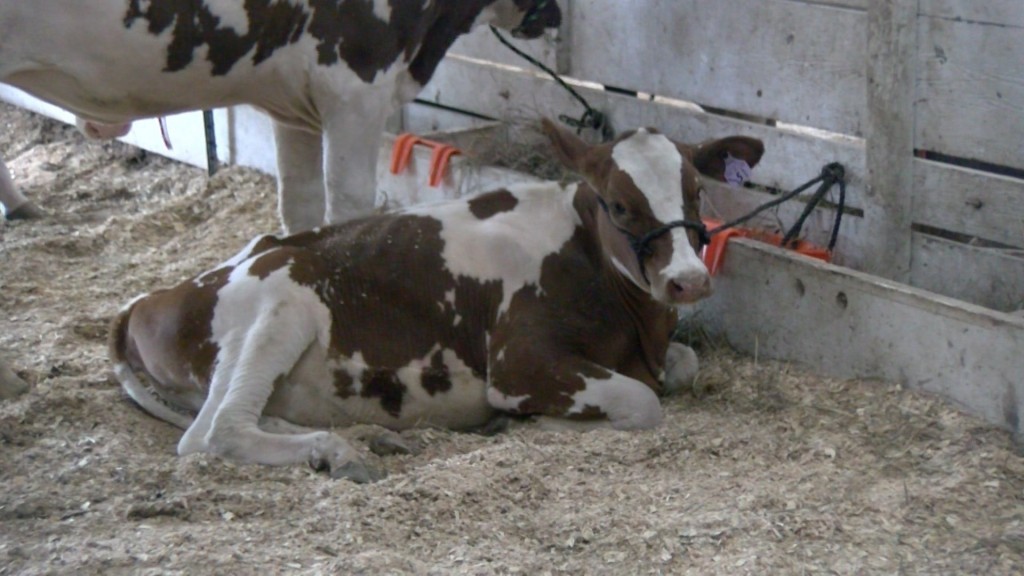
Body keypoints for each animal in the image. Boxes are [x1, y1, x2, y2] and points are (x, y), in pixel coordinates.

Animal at [108, 119, 765, 479]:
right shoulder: (520, 363)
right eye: (621, 204)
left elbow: (685, 364)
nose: (688, 280)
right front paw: (534, 424)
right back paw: (340, 451)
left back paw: (366, 439)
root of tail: (144, 301)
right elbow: (642, 402)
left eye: (696, 191)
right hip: (275, 309)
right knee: (214, 434)